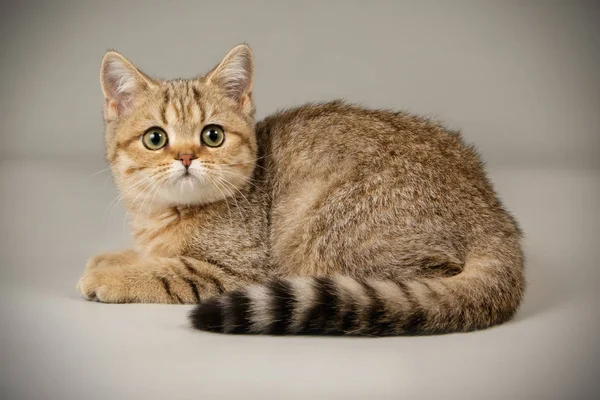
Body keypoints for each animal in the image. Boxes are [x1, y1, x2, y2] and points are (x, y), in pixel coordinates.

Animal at [78, 43, 524, 336]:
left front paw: (114, 276)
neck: (164, 215)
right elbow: (148, 256)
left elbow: (171, 271)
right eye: (155, 138)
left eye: (212, 135)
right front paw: (114, 259)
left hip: (332, 234)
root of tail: (491, 209)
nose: (186, 157)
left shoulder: (240, 271)